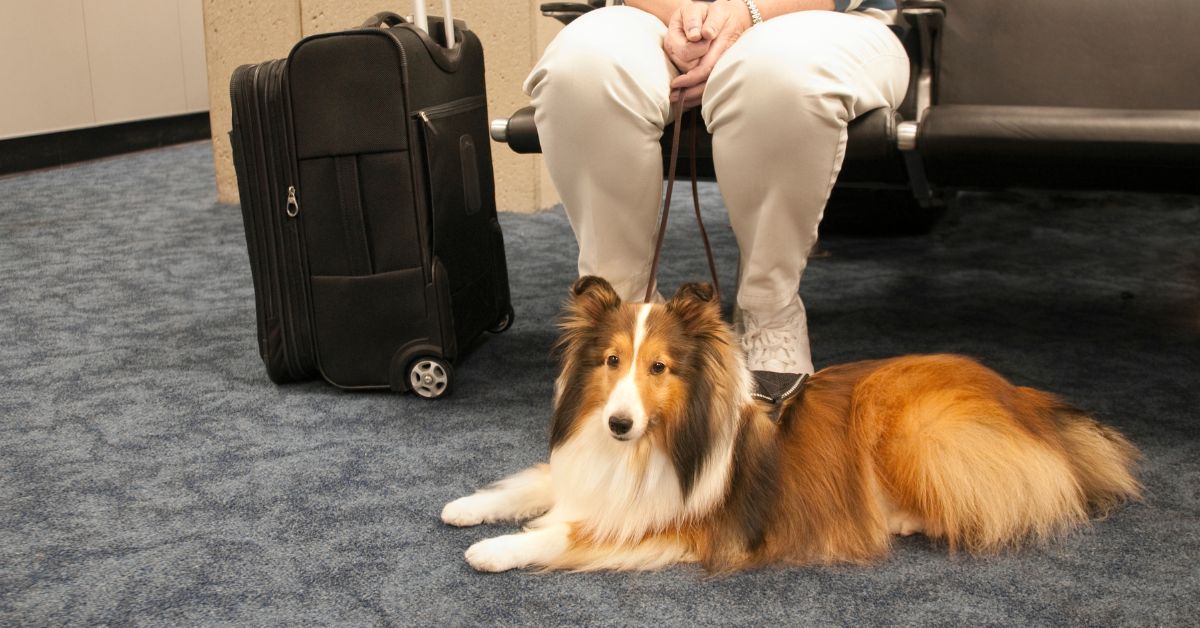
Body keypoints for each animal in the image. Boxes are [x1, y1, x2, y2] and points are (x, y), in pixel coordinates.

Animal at [444, 277, 1142, 571]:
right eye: (613, 361)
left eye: (660, 367)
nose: (618, 423)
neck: (652, 444)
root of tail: (1022, 398)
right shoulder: (585, 471)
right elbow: (532, 484)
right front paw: (465, 507)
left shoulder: (676, 523)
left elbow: (566, 533)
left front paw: (495, 550)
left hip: (909, 423)